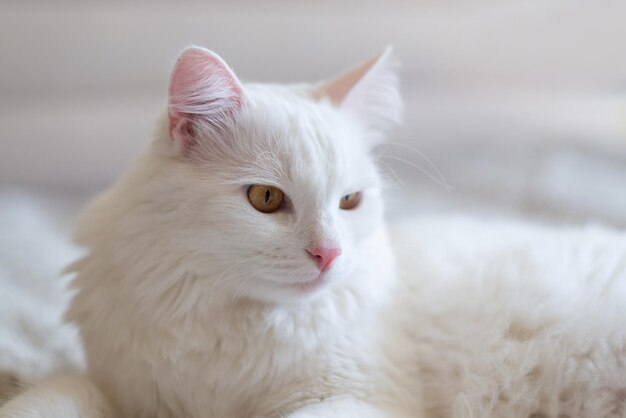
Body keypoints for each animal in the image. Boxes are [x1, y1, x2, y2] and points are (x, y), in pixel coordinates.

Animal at [1, 46, 624, 418]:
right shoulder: (120, 391)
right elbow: (50, 398)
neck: (230, 327)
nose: (329, 254)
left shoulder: (351, 399)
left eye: (349, 201)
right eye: (266, 199)